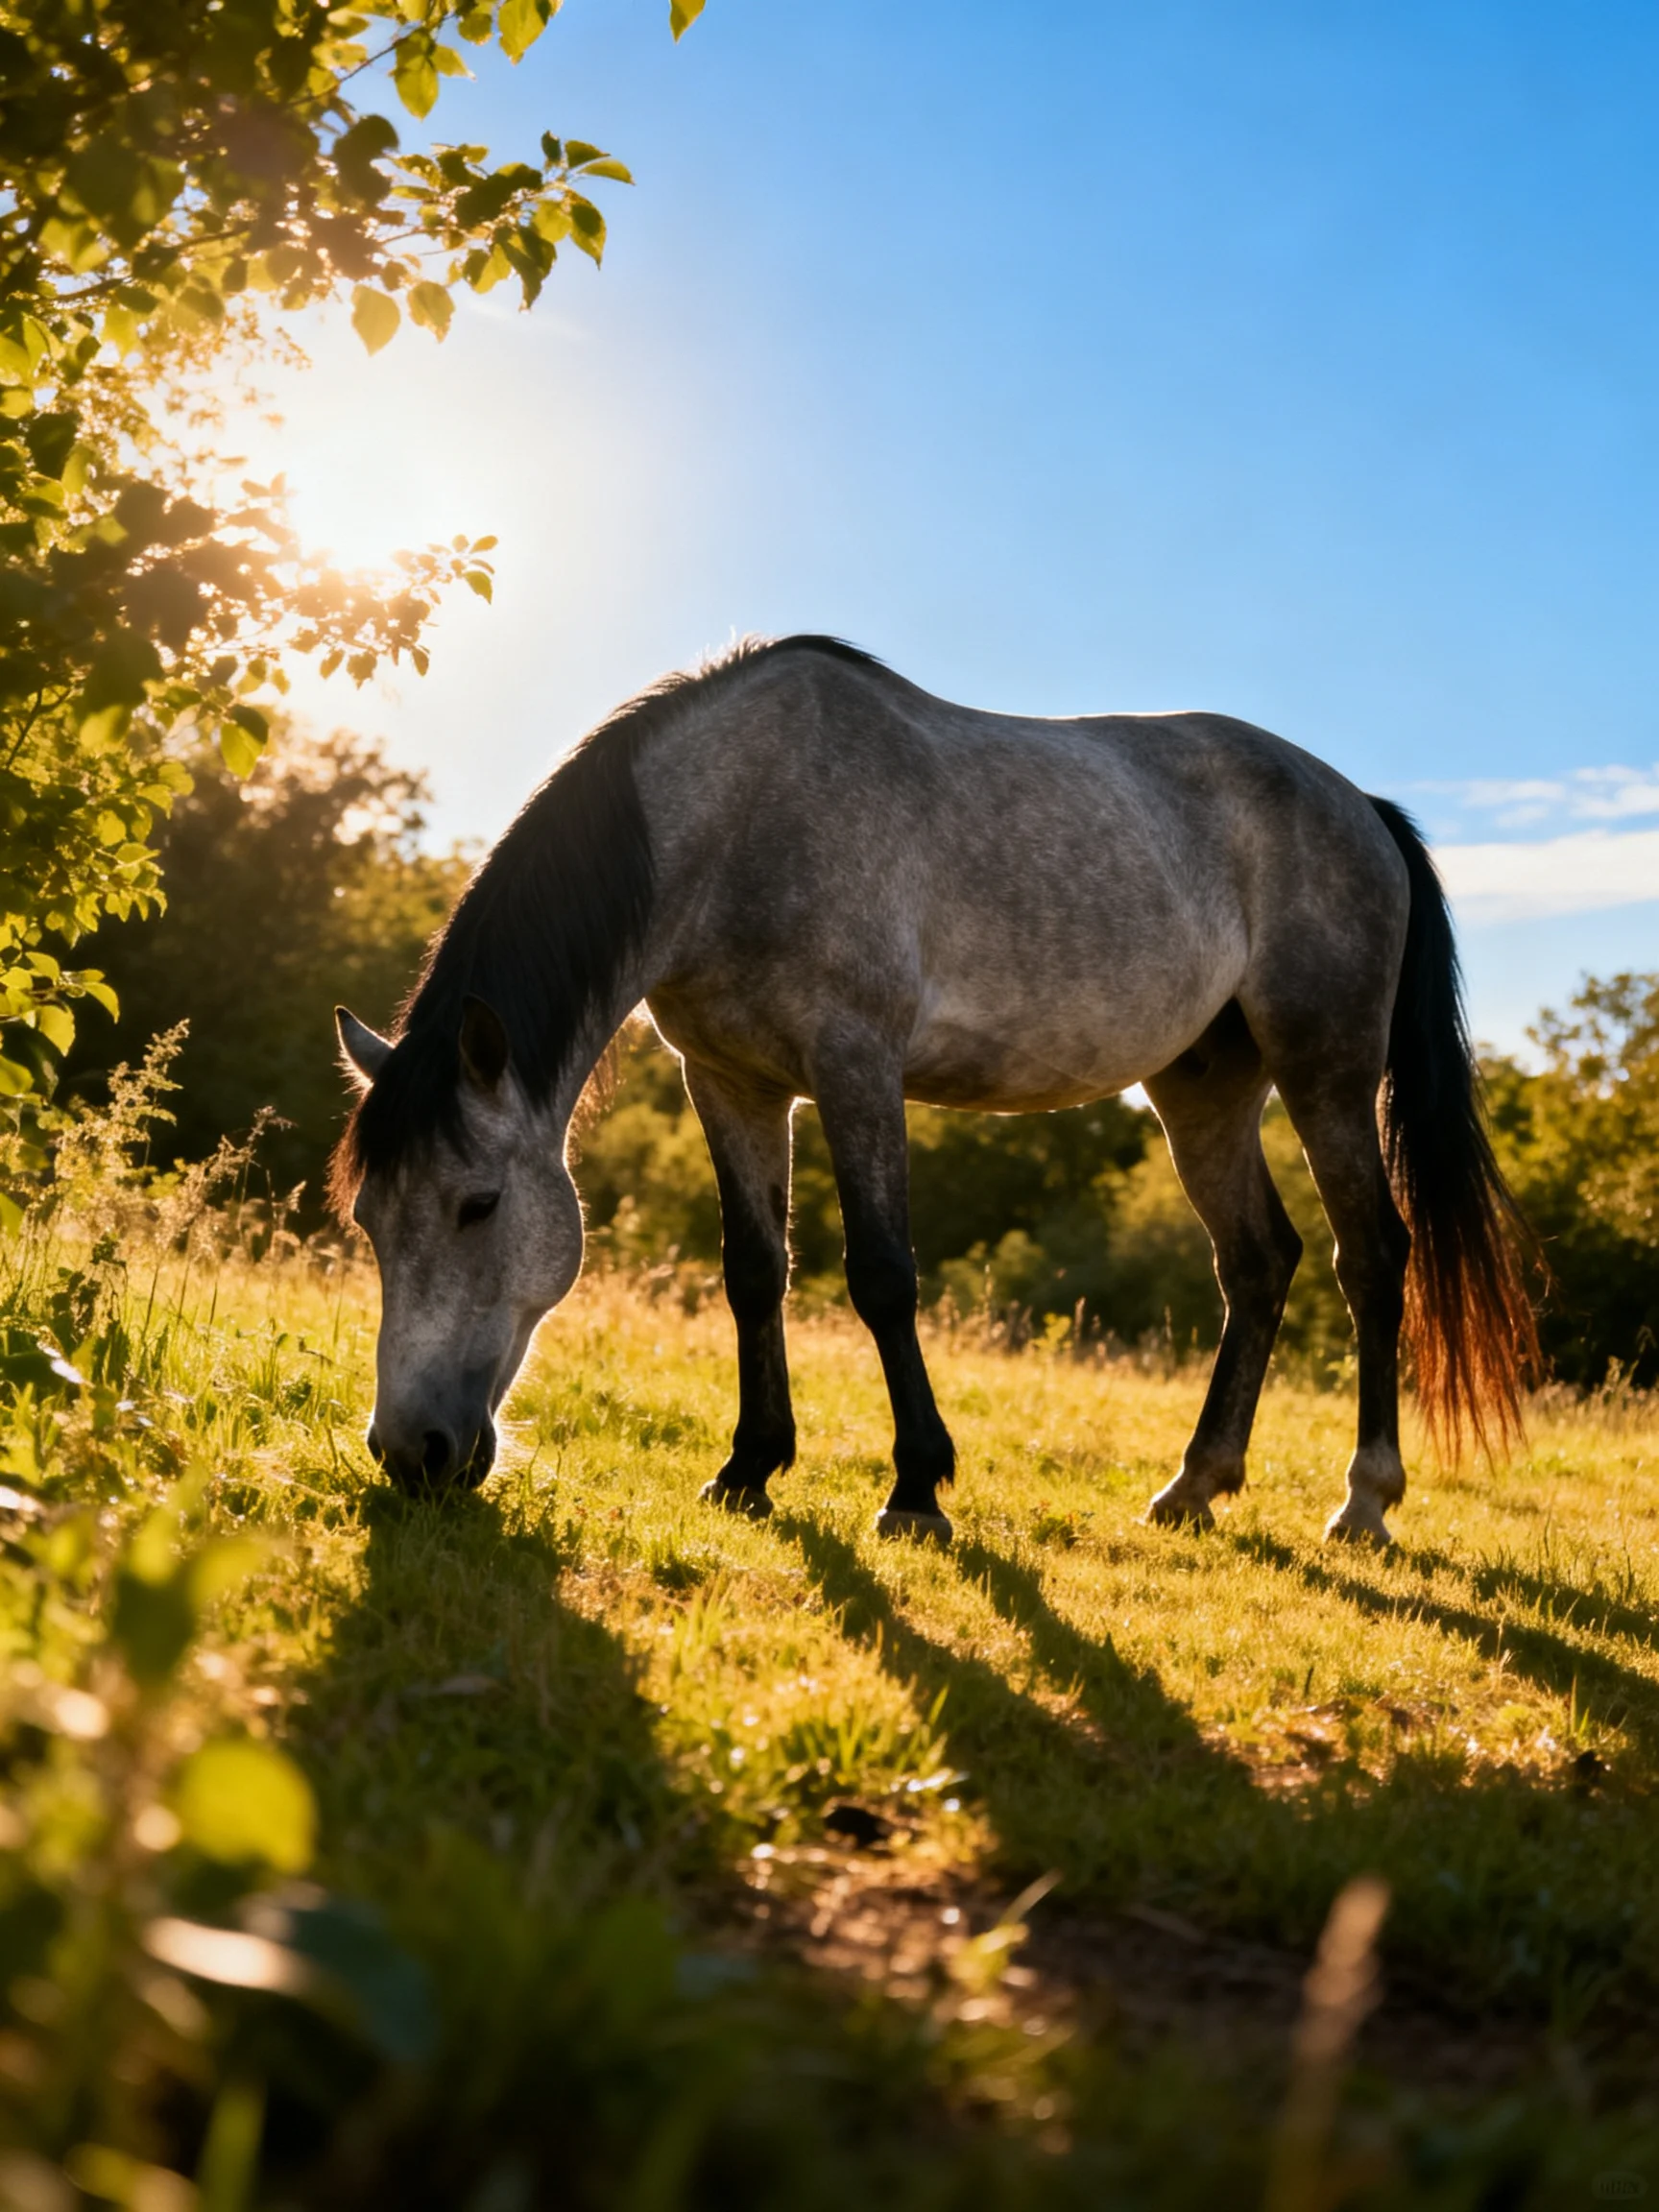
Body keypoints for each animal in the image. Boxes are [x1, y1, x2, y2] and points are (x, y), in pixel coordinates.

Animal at [330, 634, 1537, 1545]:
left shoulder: (857, 1067)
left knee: (1370, 1255)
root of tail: (1361, 806)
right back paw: (1195, 1486)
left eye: (478, 1205)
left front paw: (915, 1491)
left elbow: (881, 1276)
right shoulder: (729, 1082)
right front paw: (748, 1470)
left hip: (1325, 1070)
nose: (411, 1452)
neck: (743, 819)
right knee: (1258, 1261)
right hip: (1203, 1090)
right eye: (370, 1219)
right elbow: (754, 1274)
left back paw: (1365, 1501)